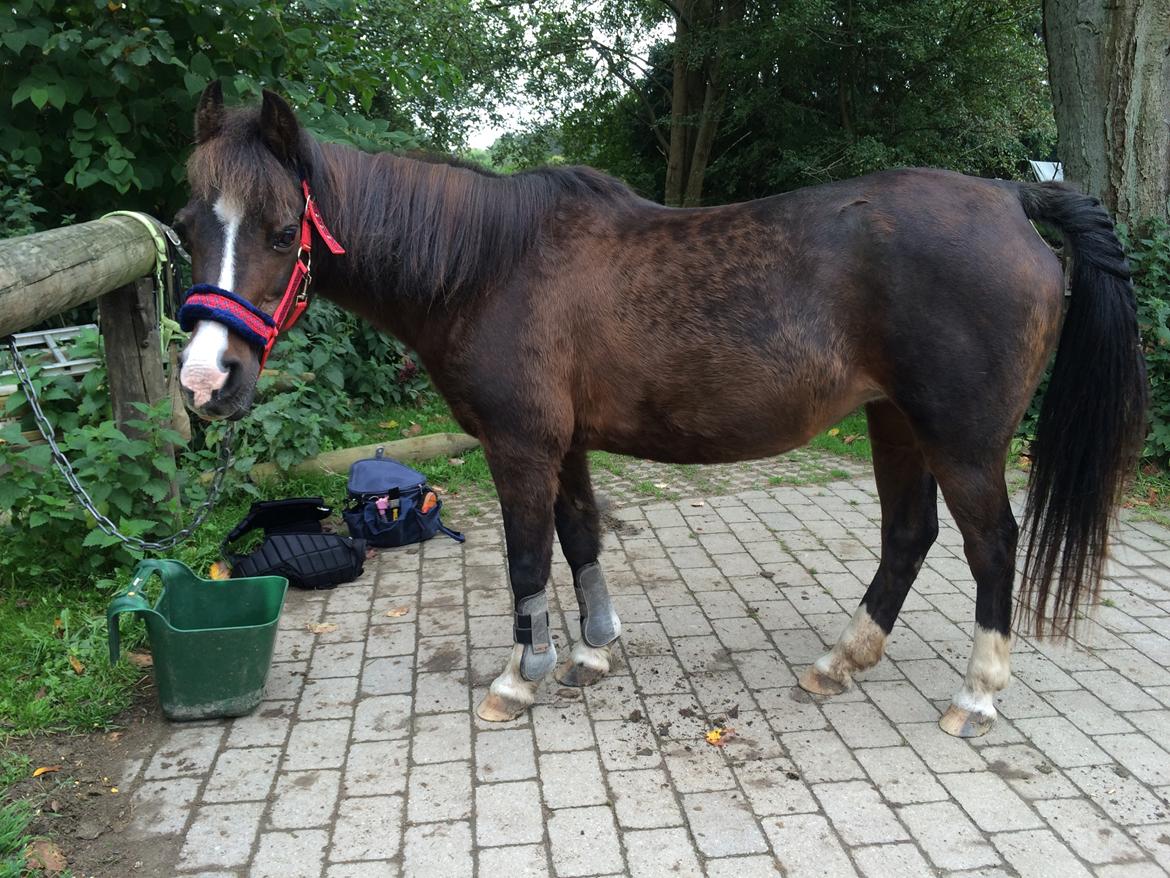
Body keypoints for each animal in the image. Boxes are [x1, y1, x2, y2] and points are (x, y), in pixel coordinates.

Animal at [177, 87, 1146, 735]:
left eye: (280, 230)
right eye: (189, 224)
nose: (205, 380)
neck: (490, 264)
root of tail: (1012, 195)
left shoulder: (519, 445)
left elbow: (527, 558)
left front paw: (520, 678)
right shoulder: (563, 444)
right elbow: (580, 539)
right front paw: (591, 653)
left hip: (963, 437)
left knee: (992, 544)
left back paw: (976, 694)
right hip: (895, 421)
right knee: (910, 535)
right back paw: (839, 663)